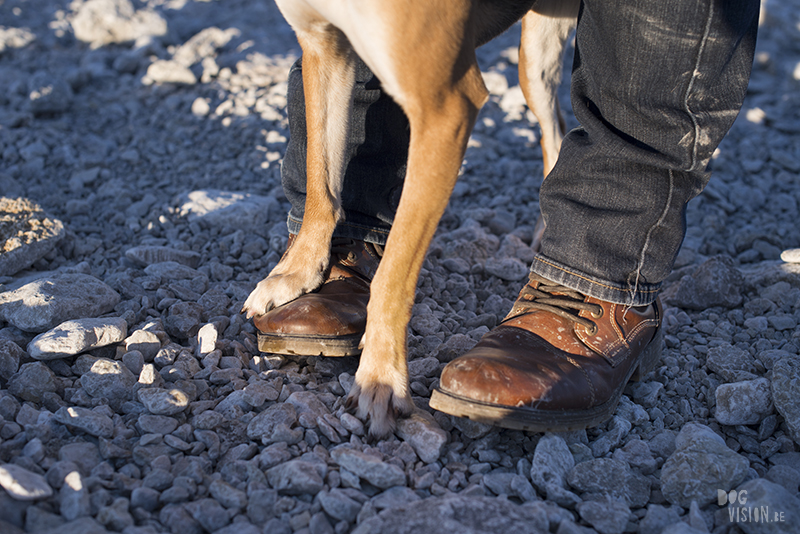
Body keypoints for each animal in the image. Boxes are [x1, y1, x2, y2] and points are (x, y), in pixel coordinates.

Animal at [241, 0, 580, 438]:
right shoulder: (324, 48)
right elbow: (321, 182)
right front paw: (296, 273)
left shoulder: (444, 108)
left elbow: (393, 273)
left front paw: (381, 378)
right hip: (536, 57)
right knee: (555, 131)